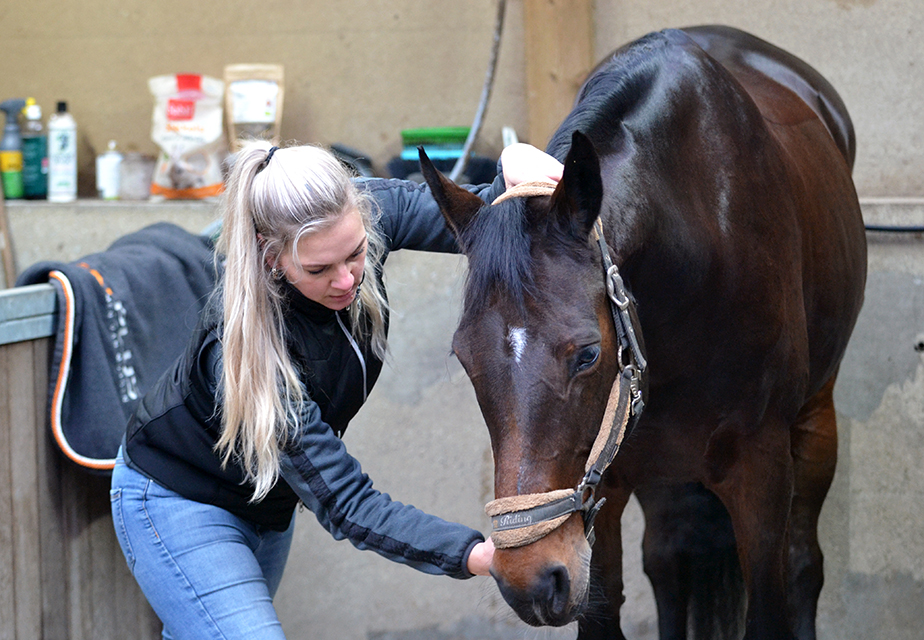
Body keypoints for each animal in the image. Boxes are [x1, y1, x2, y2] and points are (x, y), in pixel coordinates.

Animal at [418, 25, 868, 640]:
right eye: (465, 358)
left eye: (588, 354)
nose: (528, 578)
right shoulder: (605, 486)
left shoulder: (762, 470)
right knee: (669, 561)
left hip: (815, 422)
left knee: (803, 564)